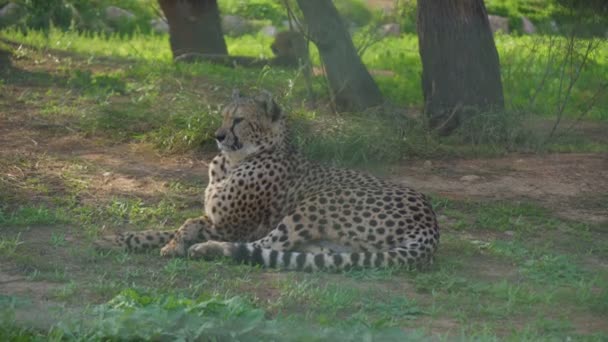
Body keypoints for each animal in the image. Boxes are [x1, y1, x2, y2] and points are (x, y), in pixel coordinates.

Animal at [95, 90, 440, 270]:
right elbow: (163, 228)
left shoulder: (231, 227)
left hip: (314, 205)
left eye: (239, 120)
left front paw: (173, 246)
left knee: (258, 246)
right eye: (223, 117)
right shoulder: (216, 220)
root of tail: (430, 222)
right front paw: (121, 239)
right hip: (332, 247)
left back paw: (208, 250)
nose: (218, 135)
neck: (232, 161)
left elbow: (187, 224)